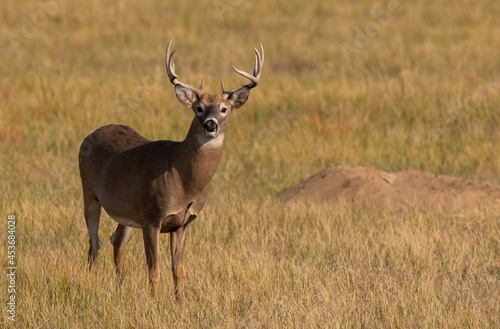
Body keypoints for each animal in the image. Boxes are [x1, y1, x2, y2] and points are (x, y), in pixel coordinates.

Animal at [79, 37, 262, 294]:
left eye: (224, 109)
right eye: (198, 108)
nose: (211, 124)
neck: (184, 180)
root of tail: (90, 135)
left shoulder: (182, 223)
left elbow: (179, 271)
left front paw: (180, 301)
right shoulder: (152, 217)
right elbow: (154, 271)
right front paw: (154, 301)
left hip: (125, 210)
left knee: (115, 240)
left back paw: (121, 285)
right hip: (89, 194)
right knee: (94, 242)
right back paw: (90, 282)